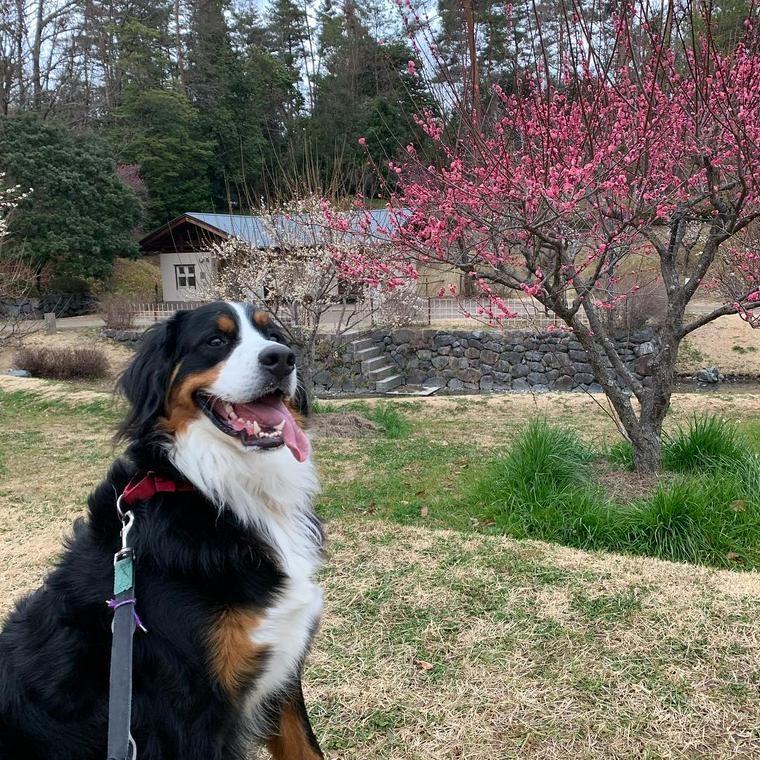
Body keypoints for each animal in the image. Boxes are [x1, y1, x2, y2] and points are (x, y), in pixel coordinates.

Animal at [0, 302, 324, 760]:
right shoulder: (190, 712)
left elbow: (308, 748)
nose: (281, 358)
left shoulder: (282, 671)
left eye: (273, 335)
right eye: (216, 340)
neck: (217, 490)